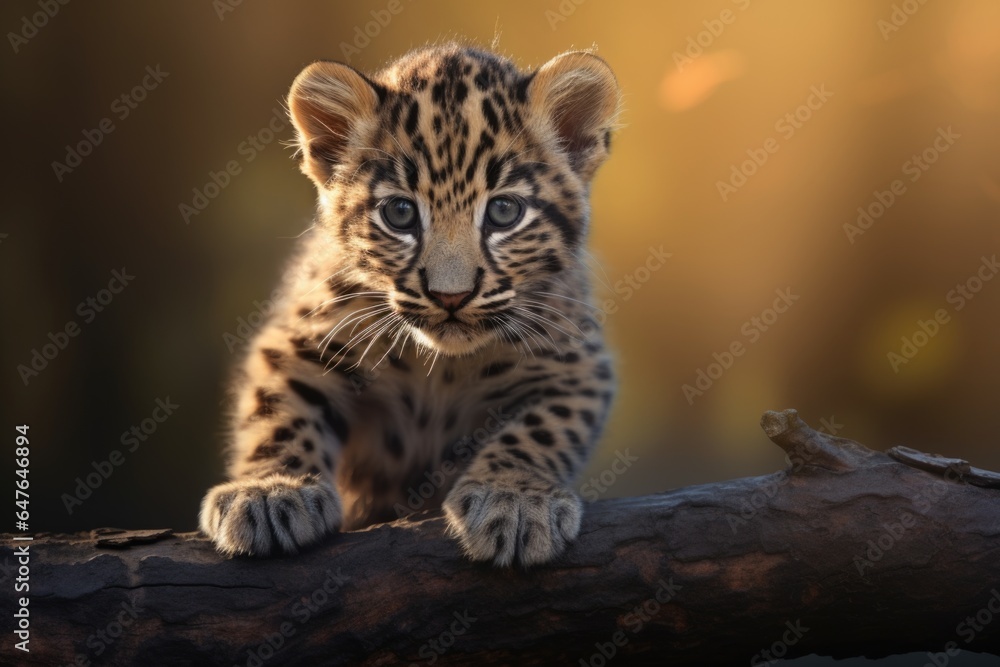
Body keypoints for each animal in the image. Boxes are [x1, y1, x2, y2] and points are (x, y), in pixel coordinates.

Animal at [199, 42, 621, 567]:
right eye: (399, 213)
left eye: (504, 211)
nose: (450, 296)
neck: (439, 366)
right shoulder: (297, 339)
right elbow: (276, 413)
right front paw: (270, 492)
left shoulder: (575, 363)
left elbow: (541, 429)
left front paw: (516, 501)